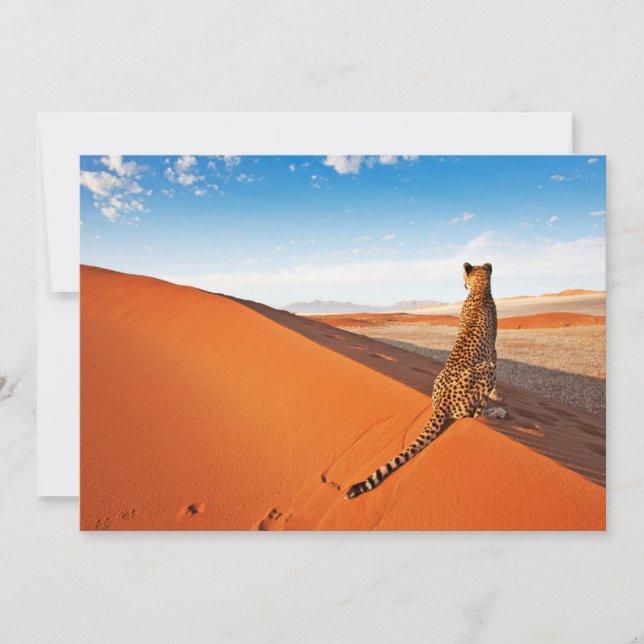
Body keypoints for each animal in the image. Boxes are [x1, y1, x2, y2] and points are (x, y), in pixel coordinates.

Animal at [345, 262, 506, 500]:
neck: (480, 289)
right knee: (473, 415)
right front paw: (498, 398)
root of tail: (443, 401)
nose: (463, 285)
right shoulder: (492, 353)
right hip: (486, 370)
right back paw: (496, 413)